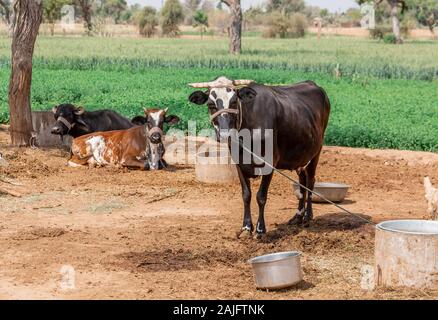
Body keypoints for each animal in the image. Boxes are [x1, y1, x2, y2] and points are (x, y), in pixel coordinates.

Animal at [189, 77, 332, 238]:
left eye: (234, 102)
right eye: (211, 104)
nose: (226, 135)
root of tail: (312, 83)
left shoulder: (270, 163)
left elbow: (261, 197)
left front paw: (260, 230)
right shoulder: (238, 163)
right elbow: (246, 195)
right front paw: (246, 228)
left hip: (317, 151)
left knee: (311, 181)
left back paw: (308, 216)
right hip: (300, 155)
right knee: (302, 182)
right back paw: (297, 216)